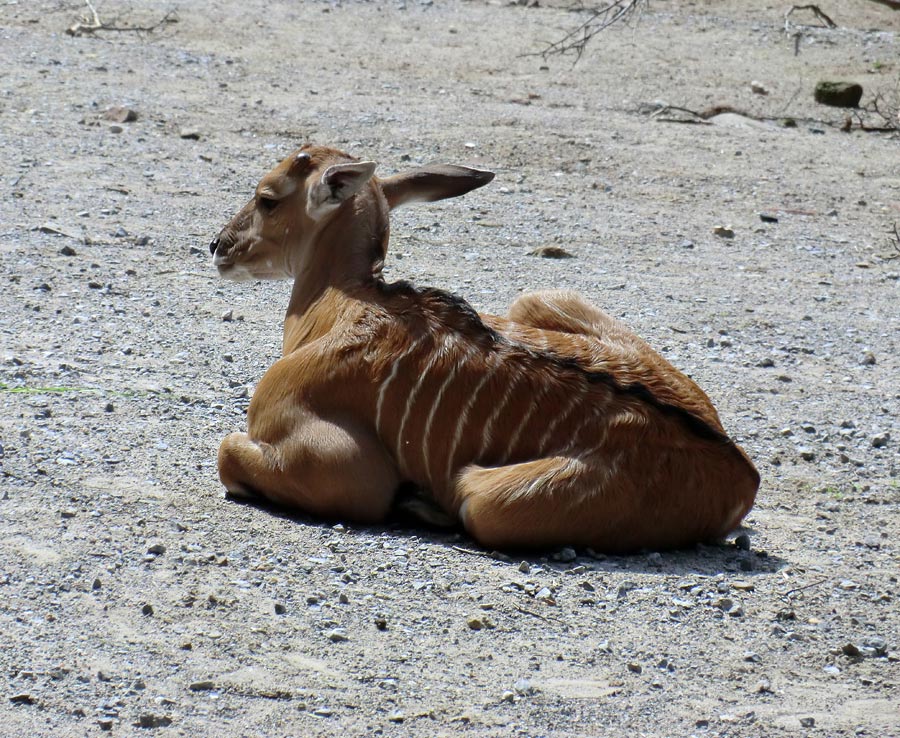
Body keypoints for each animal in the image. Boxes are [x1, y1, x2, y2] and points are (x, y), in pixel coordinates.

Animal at [211, 144, 760, 548]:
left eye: (267, 198)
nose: (218, 246)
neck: (343, 301)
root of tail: (741, 472)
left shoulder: (347, 470)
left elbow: (227, 450)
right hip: (539, 297)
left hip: (485, 500)